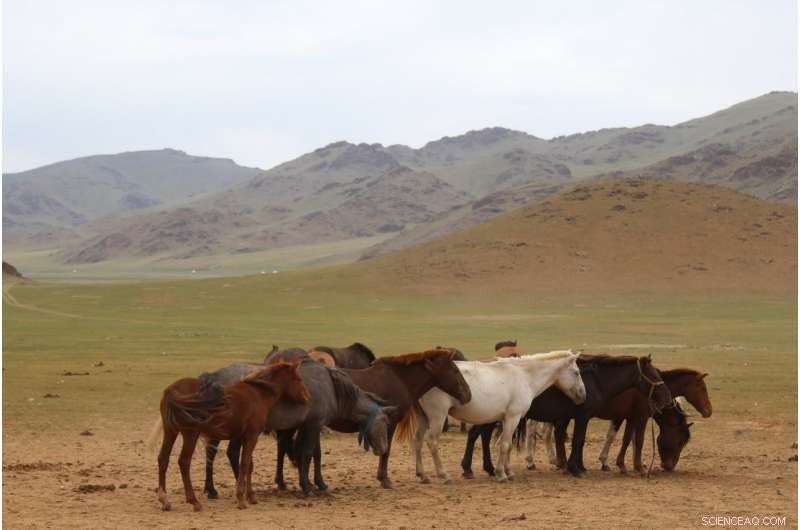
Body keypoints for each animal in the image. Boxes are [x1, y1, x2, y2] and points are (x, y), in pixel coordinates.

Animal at [155, 361, 309, 512]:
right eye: (298, 379)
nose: (307, 397)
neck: (258, 394)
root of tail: (171, 391)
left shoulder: (242, 437)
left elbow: (249, 465)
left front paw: (251, 496)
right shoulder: (252, 436)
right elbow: (244, 464)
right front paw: (241, 498)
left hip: (170, 432)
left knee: (163, 459)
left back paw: (164, 500)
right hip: (190, 434)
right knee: (184, 462)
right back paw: (194, 502)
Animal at [199, 355, 400, 498]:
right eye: (385, 423)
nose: (383, 449)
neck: (331, 387)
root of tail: (214, 377)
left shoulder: (310, 426)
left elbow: (312, 454)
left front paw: (316, 483)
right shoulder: (314, 425)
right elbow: (308, 453)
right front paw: (307, 487)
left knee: (211, 453)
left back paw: (211, 490)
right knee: (231, 453)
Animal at [277, 348, 473, 491]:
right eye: (454, 369)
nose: (468, 395)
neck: (400, 379)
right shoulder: (390, 423)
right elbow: (386, 451)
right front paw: (384, 479)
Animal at [413, 350, 587, 484]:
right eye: (577, 373)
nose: (583, 395)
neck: (524, 376)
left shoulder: (507, 419)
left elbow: (507, 445)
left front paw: (508, 471)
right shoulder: (513, 417)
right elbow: (504, 445)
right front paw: (501, 474)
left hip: (423, 418)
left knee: (417, 441)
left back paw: (422, 475)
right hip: (437, 417)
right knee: (432, 442)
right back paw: (444, 475)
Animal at [460, 354, 672, 478]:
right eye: (654, 375)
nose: (668, 398)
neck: (596, 381)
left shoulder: (576, 418)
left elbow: (575, 440)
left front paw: (578, 466)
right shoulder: (582, 416)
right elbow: (578, 440)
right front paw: (575, 468)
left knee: (482, 436)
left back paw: (488, 468)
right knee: (475, 435)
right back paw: (469, 469)